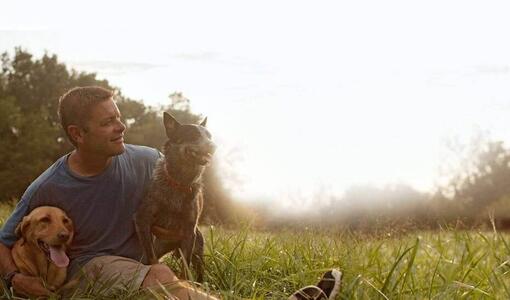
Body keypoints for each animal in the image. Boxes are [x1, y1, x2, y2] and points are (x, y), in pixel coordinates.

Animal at [133, 111, 215, 282]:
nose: (214, 145)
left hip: (198, 248)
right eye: (193, 135)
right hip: (160, 245)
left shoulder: (190, 232)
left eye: (210, 136)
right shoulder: (142, 219)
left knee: (199, 270)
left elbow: (185, 267)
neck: (179, 183)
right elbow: (152, 259)